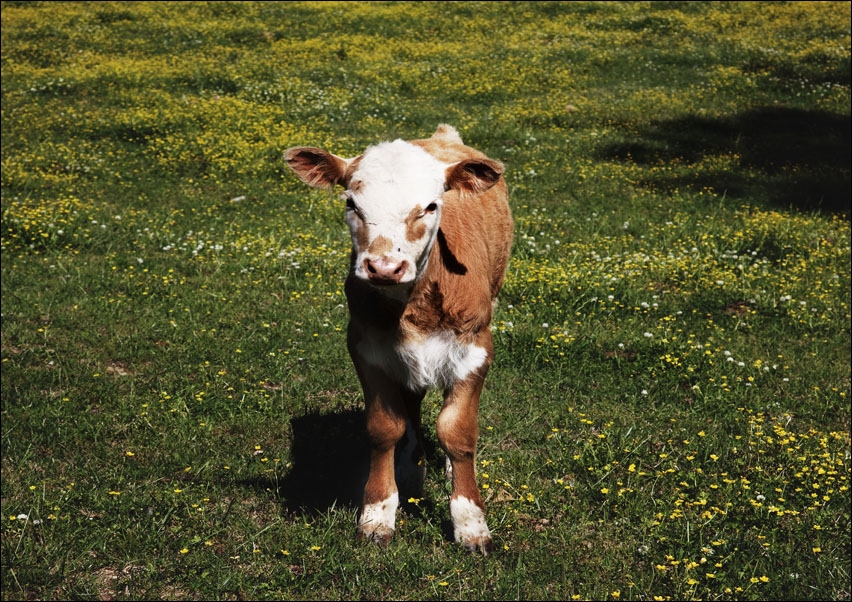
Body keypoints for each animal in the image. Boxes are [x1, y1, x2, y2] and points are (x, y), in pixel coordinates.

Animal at [284, 124, 513, 553]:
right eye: (352, 203)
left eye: (431, 206)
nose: (384, 266)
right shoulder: (366, 347)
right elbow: (383, 428)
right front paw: (378, 513)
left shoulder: (476, 348)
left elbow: (457, 430)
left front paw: (470, 522)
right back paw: (410, 465)